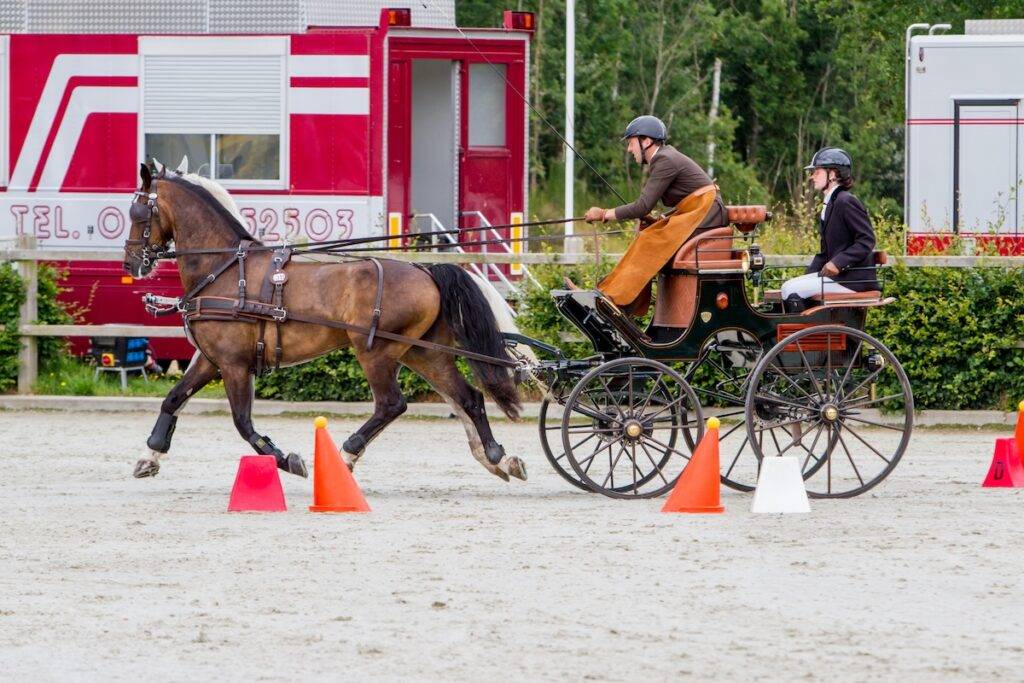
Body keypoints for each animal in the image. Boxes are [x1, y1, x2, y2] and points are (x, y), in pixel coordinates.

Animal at [123, 162, 528, 484]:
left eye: (138, 212)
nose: (131, 263)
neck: (222, 268)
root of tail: (424, 270)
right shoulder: (211, 359)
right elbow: (173, 399)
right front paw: (149, 456)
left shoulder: (234, 364)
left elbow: (242, 422)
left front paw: (287, 459)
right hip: (422, 352)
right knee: (468, 398)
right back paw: (497, 457)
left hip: (377, 353)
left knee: (392, 404)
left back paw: (346, 454)